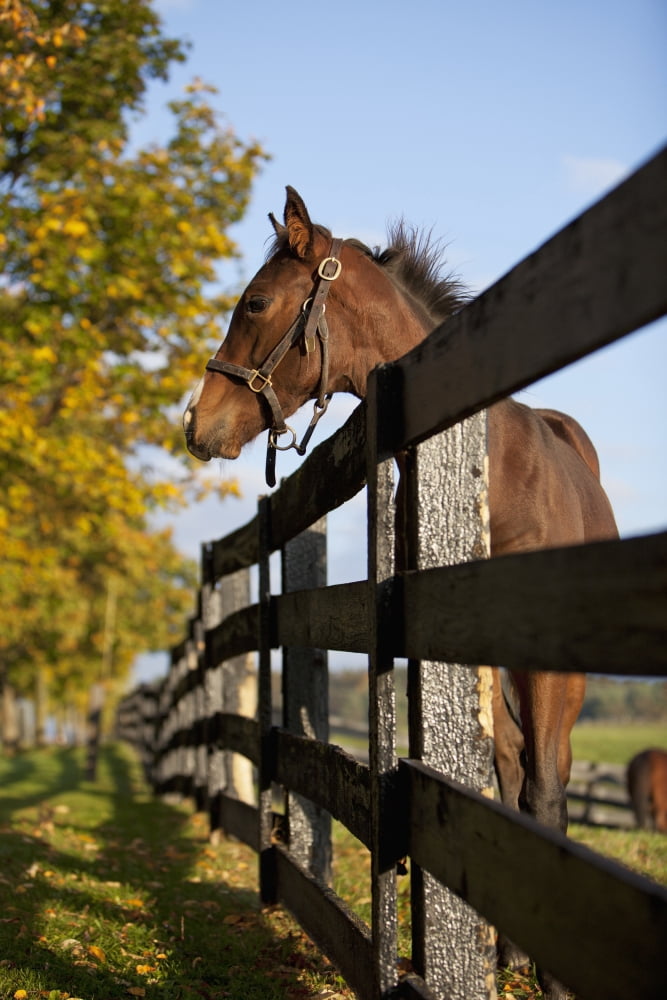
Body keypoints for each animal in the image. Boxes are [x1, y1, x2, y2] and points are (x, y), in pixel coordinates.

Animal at [183, 187, 619, 998]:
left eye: (254, 302)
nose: (196, 423)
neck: (493, 466)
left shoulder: (545, 663)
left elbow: (546, 789)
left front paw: (557, 976)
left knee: (539, 774)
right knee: (507, 764)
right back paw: (507, 948)